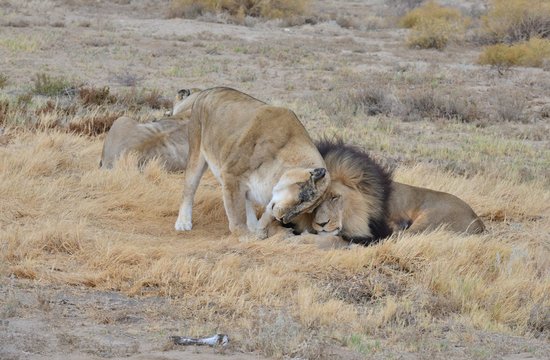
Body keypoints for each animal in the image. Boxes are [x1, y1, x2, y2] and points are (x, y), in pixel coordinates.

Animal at [176, 86, 332, 239]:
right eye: (301, 199)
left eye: (308, 209)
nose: (283, 220)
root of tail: (208, 90)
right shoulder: (231, 175)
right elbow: (237, 214)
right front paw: (244, 236)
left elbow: (265, 212)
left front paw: (259, 231)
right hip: (196, 154)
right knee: (189, 189)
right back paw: (183, 222)